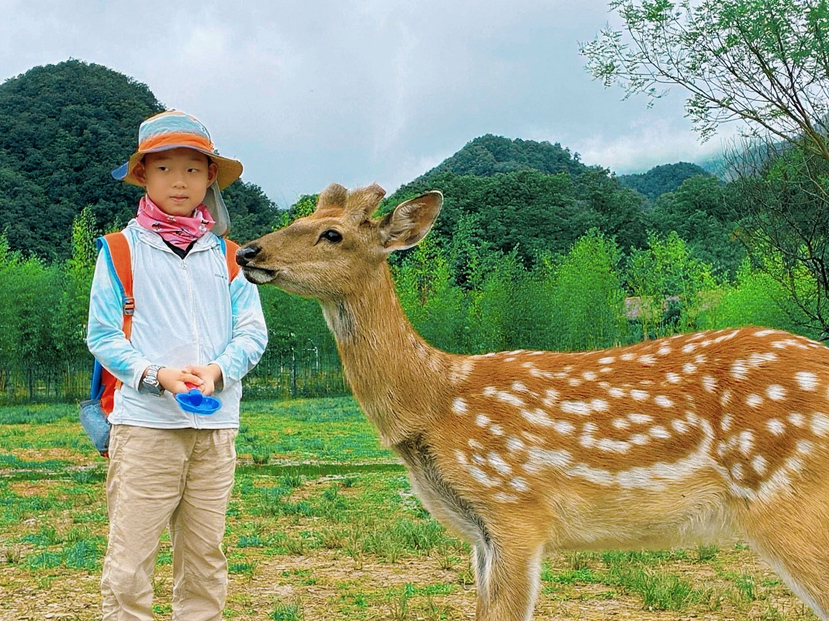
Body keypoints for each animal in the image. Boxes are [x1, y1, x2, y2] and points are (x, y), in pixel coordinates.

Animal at [236, 183, 829, 621]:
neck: (435, 401)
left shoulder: (515, 508)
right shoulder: (480, 532)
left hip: (789, 501)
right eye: (302, 218)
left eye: (331, 233)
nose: (247, 251)